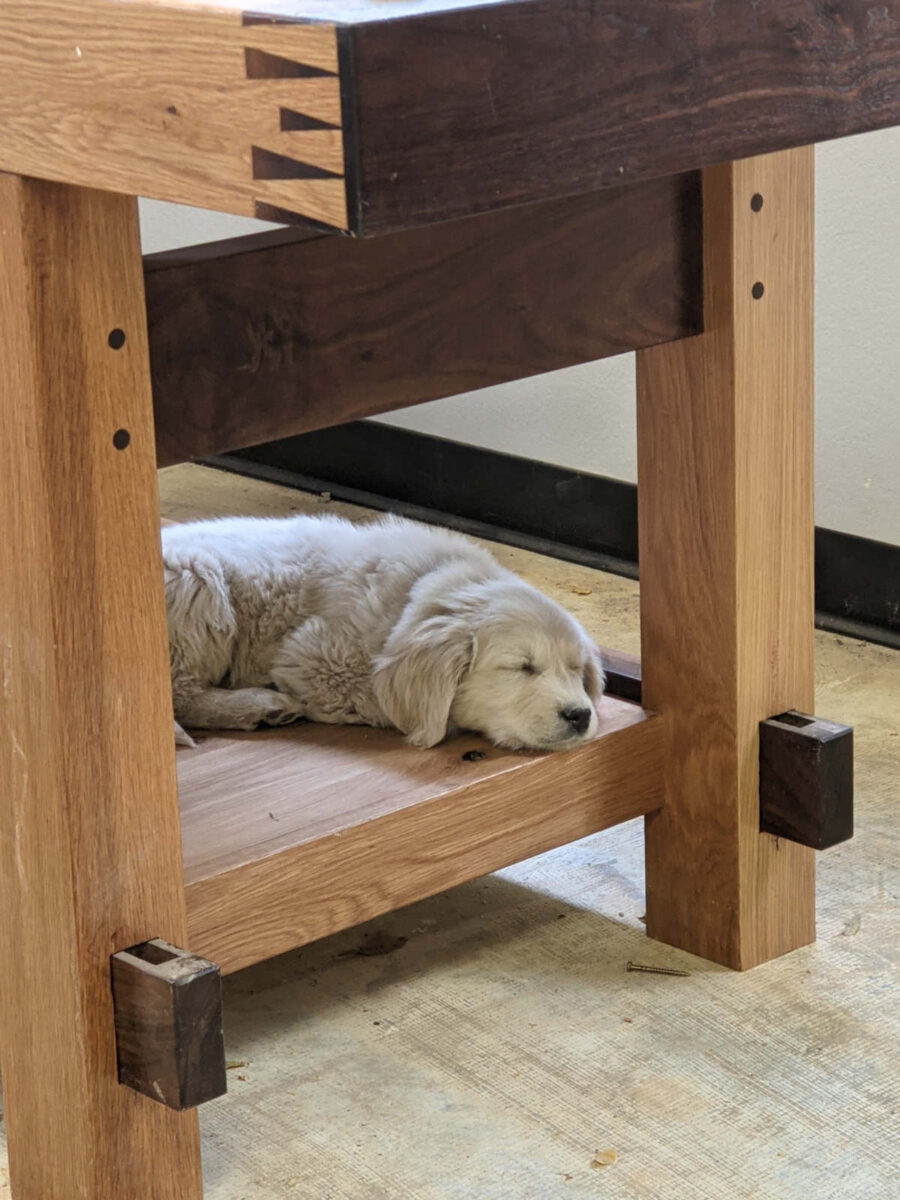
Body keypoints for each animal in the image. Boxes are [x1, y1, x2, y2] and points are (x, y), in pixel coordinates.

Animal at [166, 513, 609, 748]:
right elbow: (378, 699)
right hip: (197, 580)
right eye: (521, 668)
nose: (580, 715)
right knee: (181, 695)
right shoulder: (311, 659)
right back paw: (260, 706)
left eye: (576, 670)